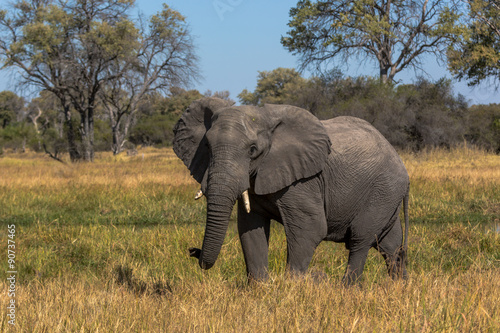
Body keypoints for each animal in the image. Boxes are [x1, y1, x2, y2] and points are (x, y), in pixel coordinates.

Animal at [174, 96, 408, 282]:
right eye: (206, 147)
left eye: (252, 150)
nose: (192, 250)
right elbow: (250, 229)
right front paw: (259, 289)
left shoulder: (303, 181)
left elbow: (310, 228)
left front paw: (292, 287)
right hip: (387, 197)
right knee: (390, 244)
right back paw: (399, 287)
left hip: (382, 191)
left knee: (360, 240)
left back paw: (348, 288)